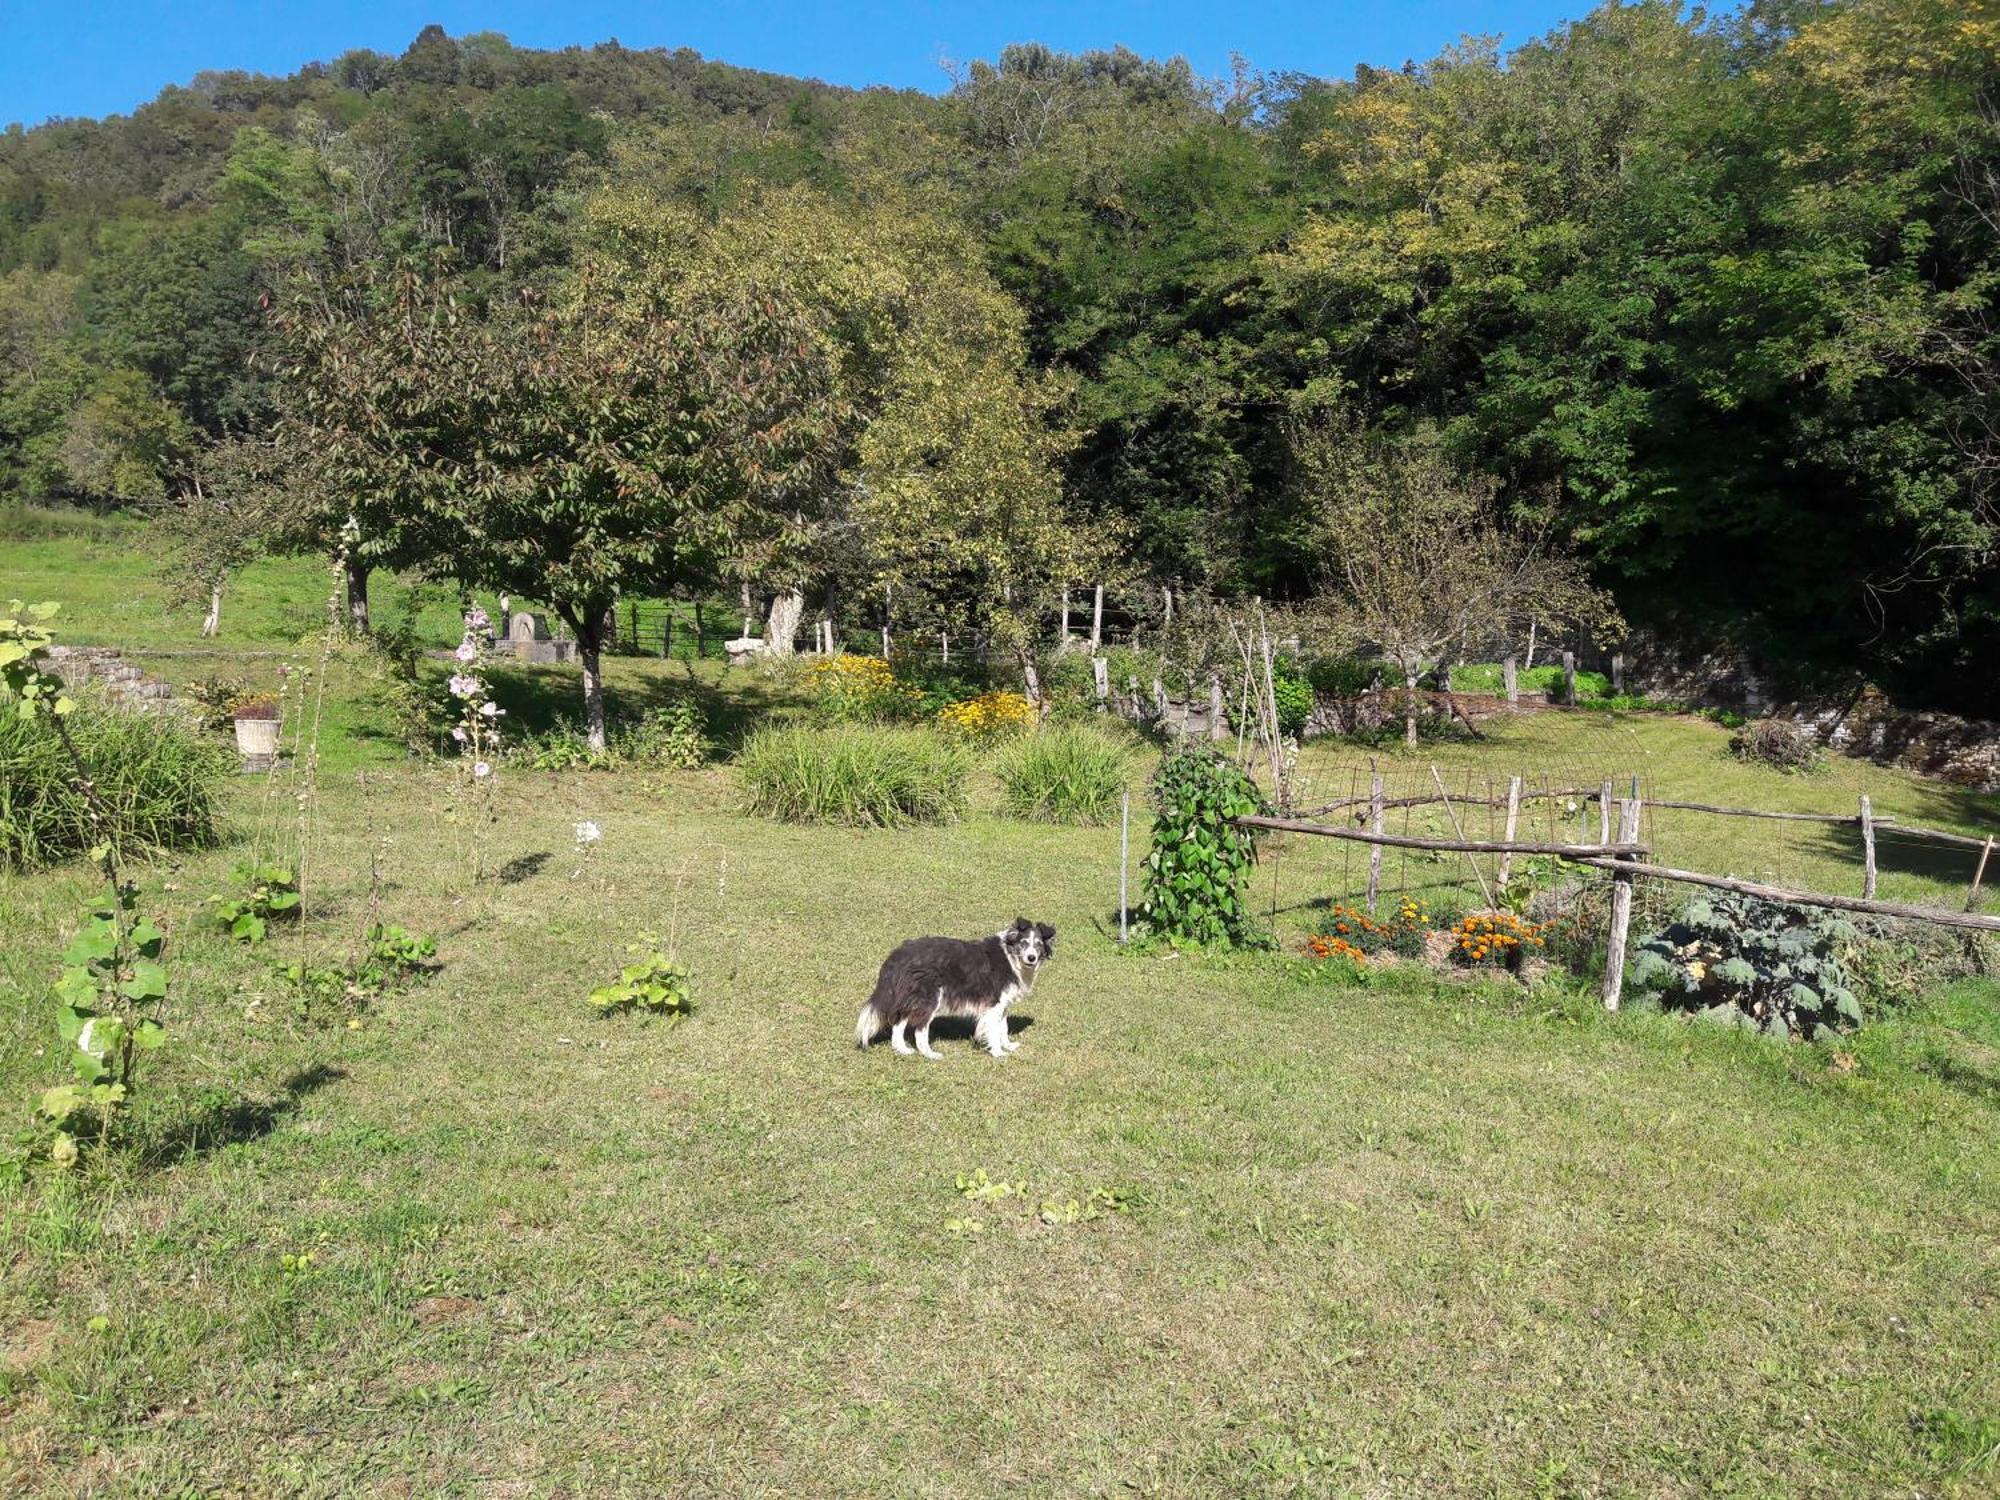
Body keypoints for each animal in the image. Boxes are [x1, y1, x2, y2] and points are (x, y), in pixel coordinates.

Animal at [852, 924, 1056, 1064]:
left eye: (1038, 945)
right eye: (1024, 943)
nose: (1032, 958)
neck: (1011, 957)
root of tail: (898, 954)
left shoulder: (1003, 1005)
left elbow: (1003, 1028)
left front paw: (1008, 1045)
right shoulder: (994, 1004)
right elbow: (994, 1030)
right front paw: (998, 1053)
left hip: (912, 996)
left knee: (898, 1024)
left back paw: (902, 1049)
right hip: (930, 997)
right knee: (919, 1029)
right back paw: (929, 1054)